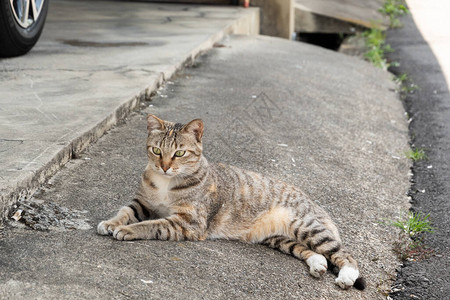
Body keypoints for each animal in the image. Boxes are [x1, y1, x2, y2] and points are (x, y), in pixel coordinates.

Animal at [97, 113, 366, 290]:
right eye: (156, 150)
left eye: (179, 153)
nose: (164, 167)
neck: (166, 184)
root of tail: (316, 203)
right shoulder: (143, 202)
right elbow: (125, 211)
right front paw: (111, 223)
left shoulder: (188, 223)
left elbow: (150, 225)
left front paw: (127, 230)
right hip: (280, 238)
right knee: (312, 252)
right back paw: (317, 264)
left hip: (306, 227)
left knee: (345, 255)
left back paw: (346, 276)